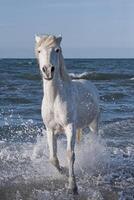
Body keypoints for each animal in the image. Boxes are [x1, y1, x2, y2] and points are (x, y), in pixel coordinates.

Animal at [34, 34, 99, 194]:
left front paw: (72, 186)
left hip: (94, 124)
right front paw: (62, 170)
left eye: (57, 50)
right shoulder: (50, 130)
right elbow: (53, 158)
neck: (55, 99)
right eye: (39, 50)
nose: (48, 70)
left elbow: (70, 154)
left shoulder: (70, 127)